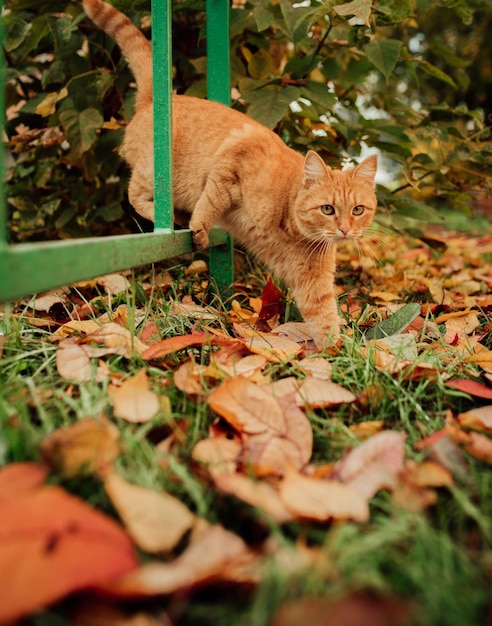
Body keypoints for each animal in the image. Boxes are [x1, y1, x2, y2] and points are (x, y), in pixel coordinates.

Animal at [82, 0, 378, 346]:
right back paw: (171, 218)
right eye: (328, 209)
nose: (345, 230)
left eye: (358, 210)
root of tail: (154, 101)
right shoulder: (231, 164)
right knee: (135, 196)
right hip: (154, 174)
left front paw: (337, 352)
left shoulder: (312, 280)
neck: (290, 225)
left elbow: (325, 318)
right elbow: (211, 202)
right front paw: (199, 229)